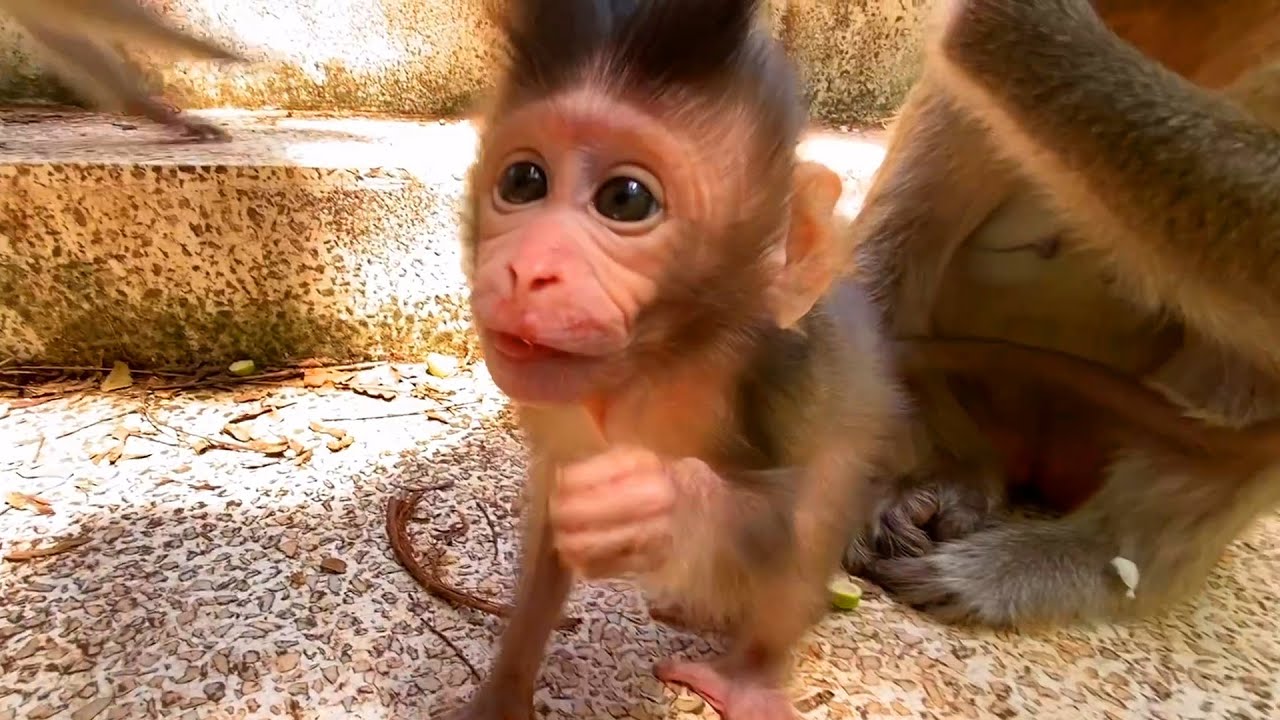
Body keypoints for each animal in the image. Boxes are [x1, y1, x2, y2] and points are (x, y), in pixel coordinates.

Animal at [443, 0, 905, 717]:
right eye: (523, 181)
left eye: (625, 199)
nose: (529, 270)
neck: (655, 363)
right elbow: (551, 523)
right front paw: (502, 693)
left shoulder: (784, 372)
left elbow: (796, 511)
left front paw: (654, 503)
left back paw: (747, 676)